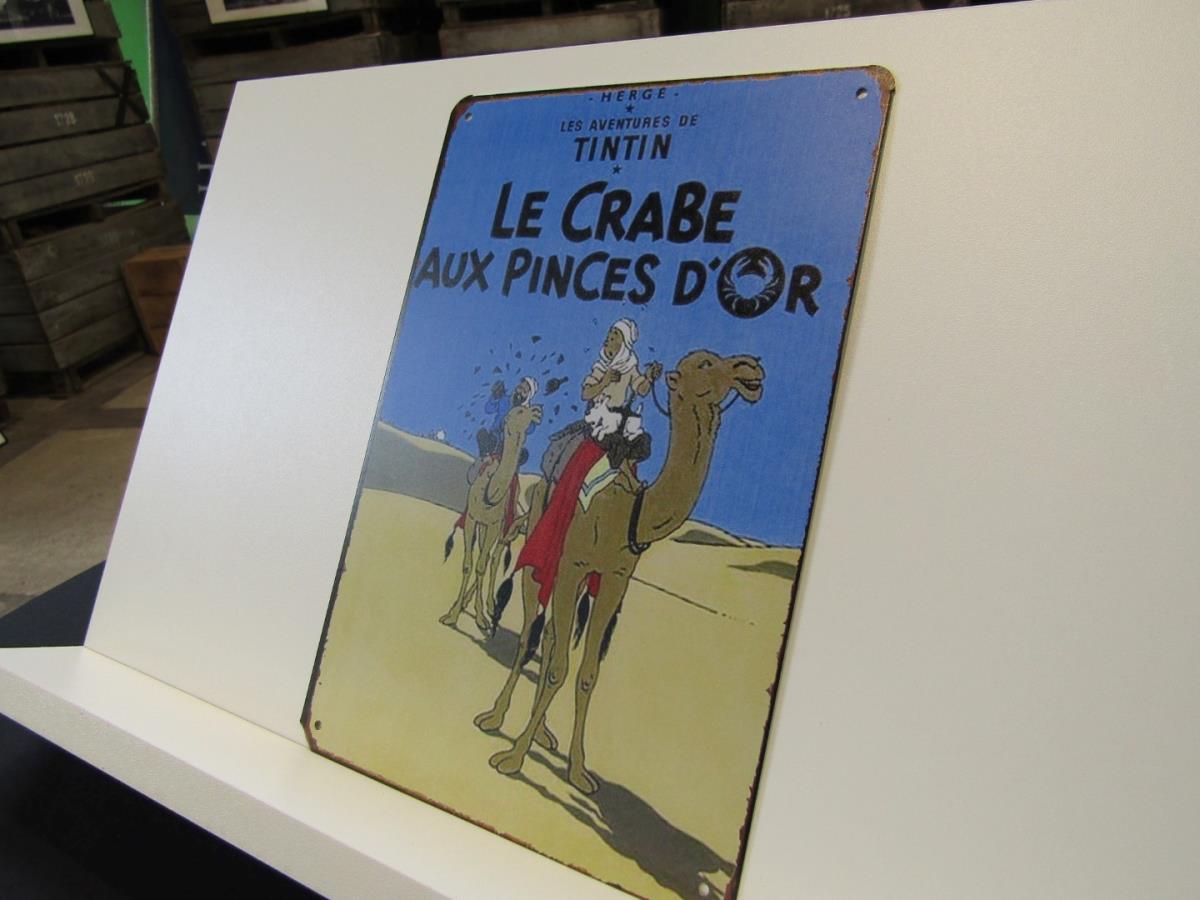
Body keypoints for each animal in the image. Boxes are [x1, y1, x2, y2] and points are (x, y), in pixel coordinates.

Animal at [440, 401, 542, 635]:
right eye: (519, 411)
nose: (538, 412)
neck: (490, 491)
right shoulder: (472, 519)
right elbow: (469, 564)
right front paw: (452, 614)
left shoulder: (496, 525)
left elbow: (481, 565)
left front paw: (480, 618)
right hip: (484, 527)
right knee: (485, 557)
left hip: (504, 529)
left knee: (493, 559)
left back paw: (487, 606)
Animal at [481, 350, 765, 794]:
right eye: (705, 364)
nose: (752, 368)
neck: (628, 512)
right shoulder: (573, 565)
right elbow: (559, 666)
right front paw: (512, 759)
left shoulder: (614, 579)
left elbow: (587, 674)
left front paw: (578, 772)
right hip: (542, 550)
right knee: (532, 632)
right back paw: (495, 717)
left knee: (551, 638)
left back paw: (542, 732)